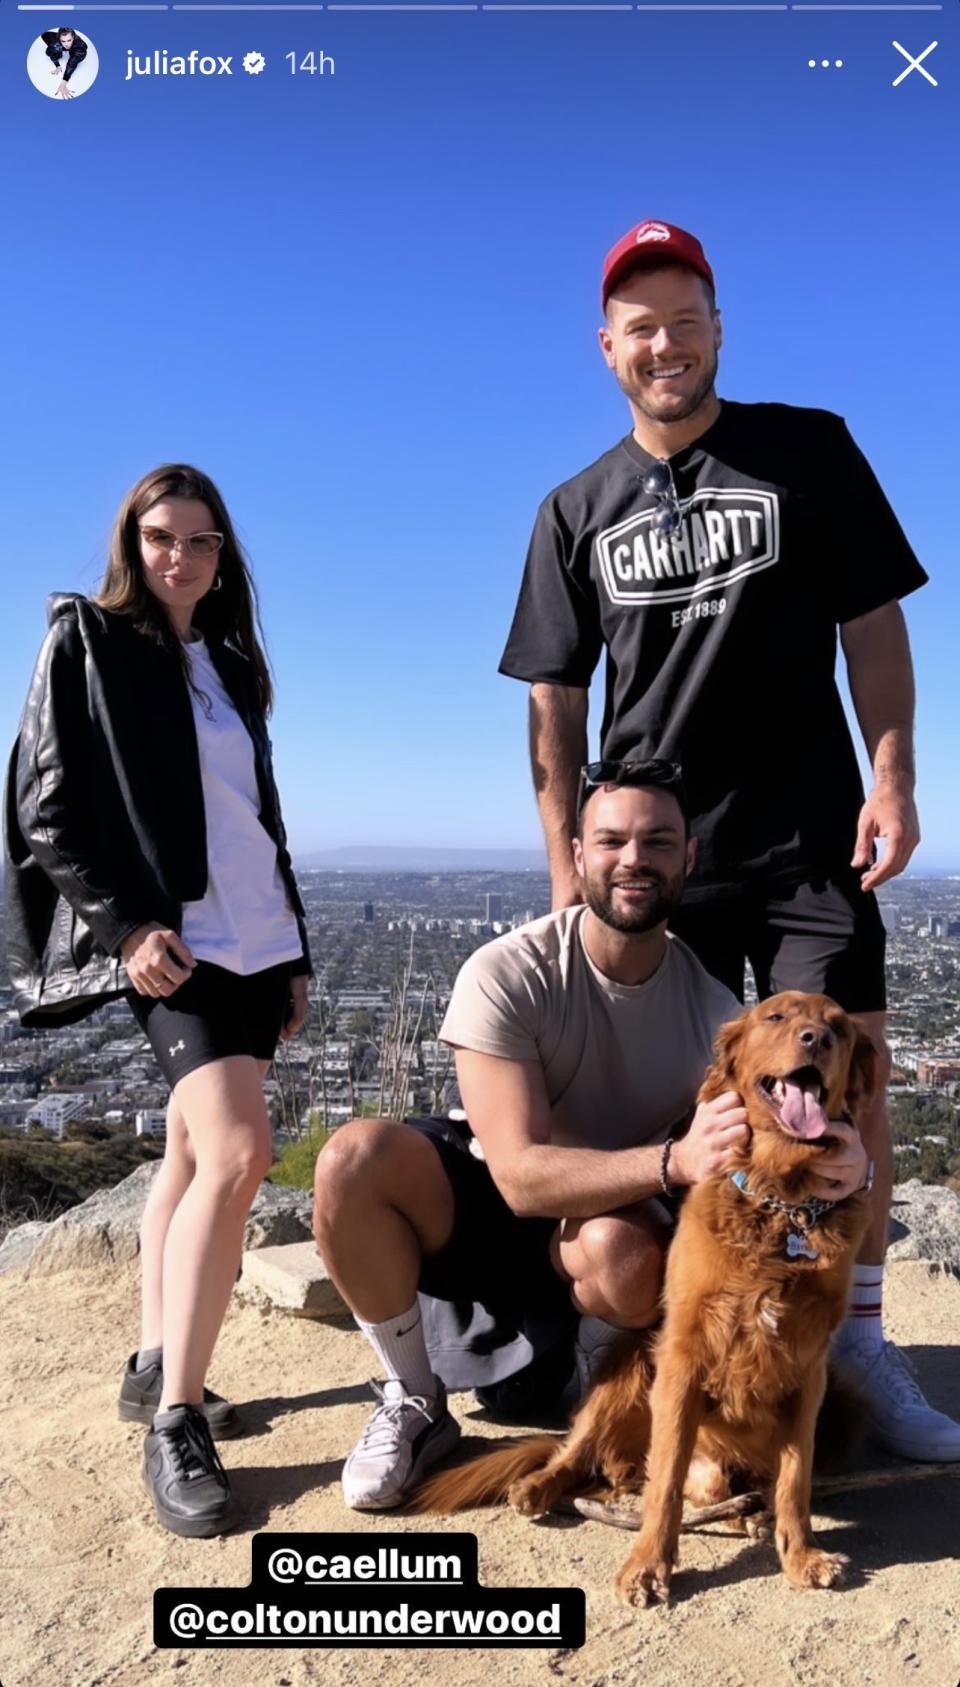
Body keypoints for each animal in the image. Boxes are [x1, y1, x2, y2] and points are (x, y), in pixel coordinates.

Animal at [411, 985, 877, 1606]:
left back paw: (751, 1514)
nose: (815, 1040)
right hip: (631, 1367)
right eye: (776, 1015)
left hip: (845, 1405)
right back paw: (540, 1484)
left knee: (733, 1485)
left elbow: (795, 1478)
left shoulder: (809, 1369)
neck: (783, 1202)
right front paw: (648, 1565)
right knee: (582, 1452)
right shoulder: (682, 1355)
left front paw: (801, 1553)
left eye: (840, 1028)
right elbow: (667, 1482)